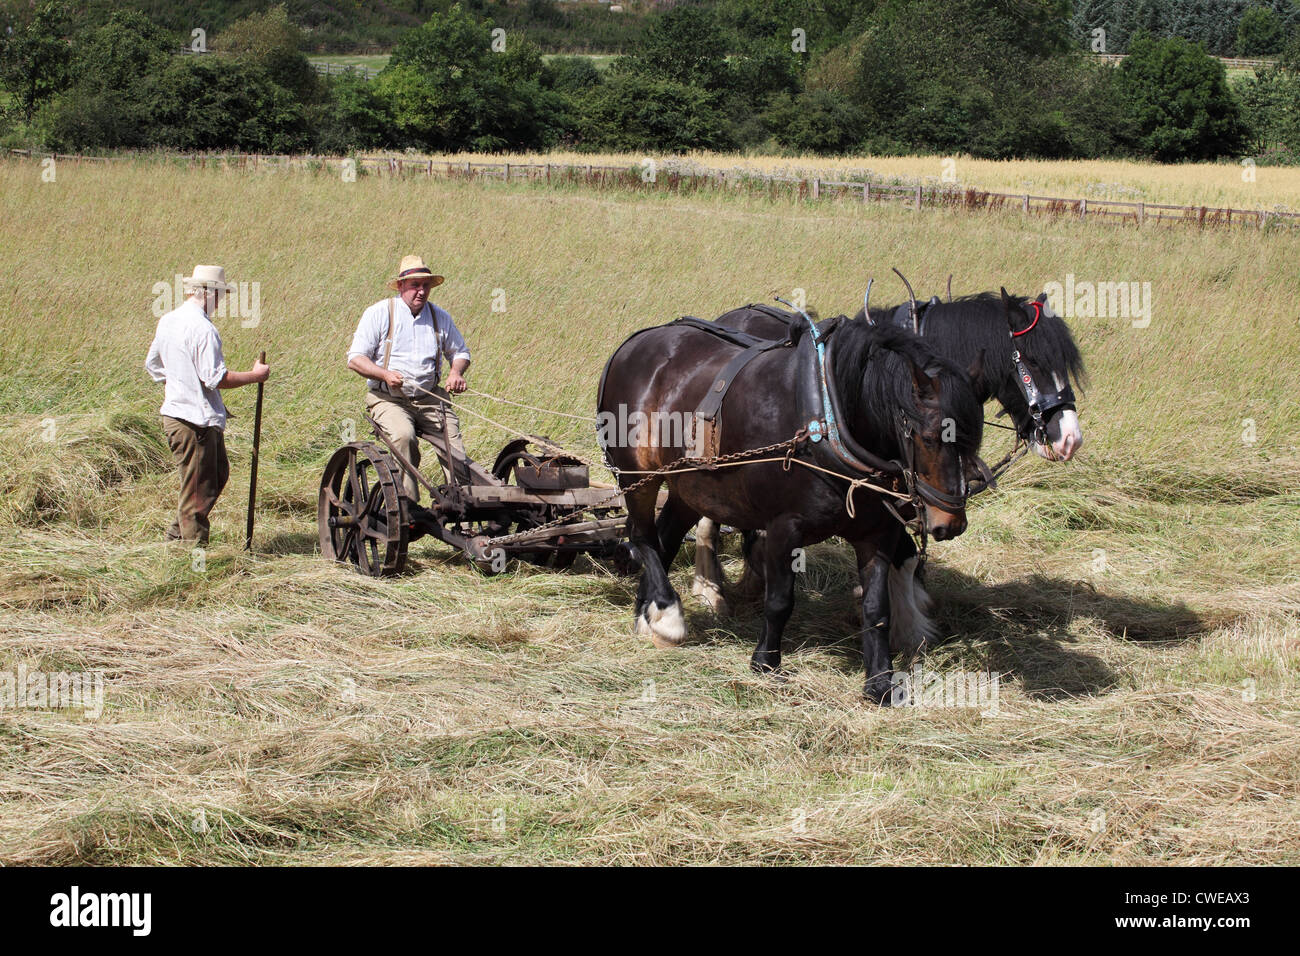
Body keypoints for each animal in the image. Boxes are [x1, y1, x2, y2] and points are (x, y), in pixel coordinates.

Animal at [597, 314, 986, 703]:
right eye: (929, 438)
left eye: (973, 437)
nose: (951, 522)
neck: (826, 419)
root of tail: (635, 342)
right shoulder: (785, 527)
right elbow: (780, 600)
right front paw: (766, 663)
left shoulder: (877, 532)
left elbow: (877, 607)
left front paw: (880, 682)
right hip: (637, 475)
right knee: (643, 537)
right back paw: (667, 614)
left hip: (691, 486)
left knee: (666, 537)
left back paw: (646, 614)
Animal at [691, 286, 1087, 640]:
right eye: (1033, 361)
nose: (1069, 439)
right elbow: (904, 554)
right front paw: (909, 627)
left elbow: (905, 558)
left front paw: (906, 614)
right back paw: (710, 588)